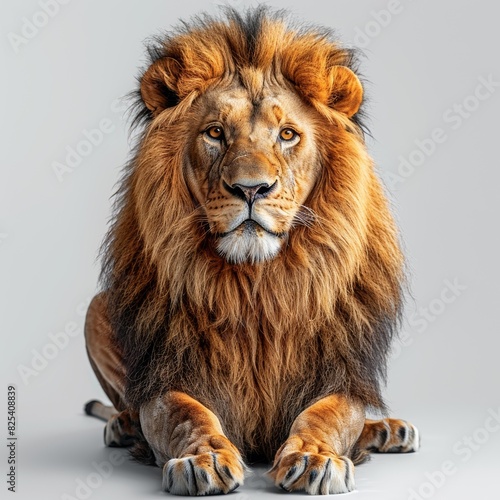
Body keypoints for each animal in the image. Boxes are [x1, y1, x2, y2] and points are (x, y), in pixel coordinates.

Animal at [84, 7, 420, 496]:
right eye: (215, 133)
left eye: (287, 135)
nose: (250, 188)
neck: (257, 288)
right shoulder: (169, 374)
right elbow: (186, 415)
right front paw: (202, 459)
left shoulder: (336, 371)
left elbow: (328, 416)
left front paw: (315, 458)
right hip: (97, 308)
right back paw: (124, 426)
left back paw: (389, 429)